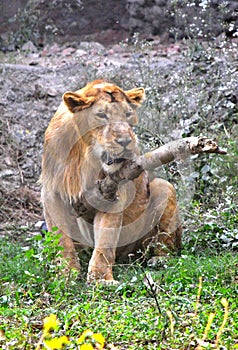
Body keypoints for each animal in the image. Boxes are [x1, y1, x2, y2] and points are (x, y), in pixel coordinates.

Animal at [40, 78, 182, 282]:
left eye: (128, 114)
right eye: (101, 114)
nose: (125, 141)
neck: (85, 152)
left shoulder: (112, 193)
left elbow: (106, 240)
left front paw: (100, 279)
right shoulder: (51, 193)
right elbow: (61, 240)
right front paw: (66, 274)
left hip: (164, 187)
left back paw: (158, 260)